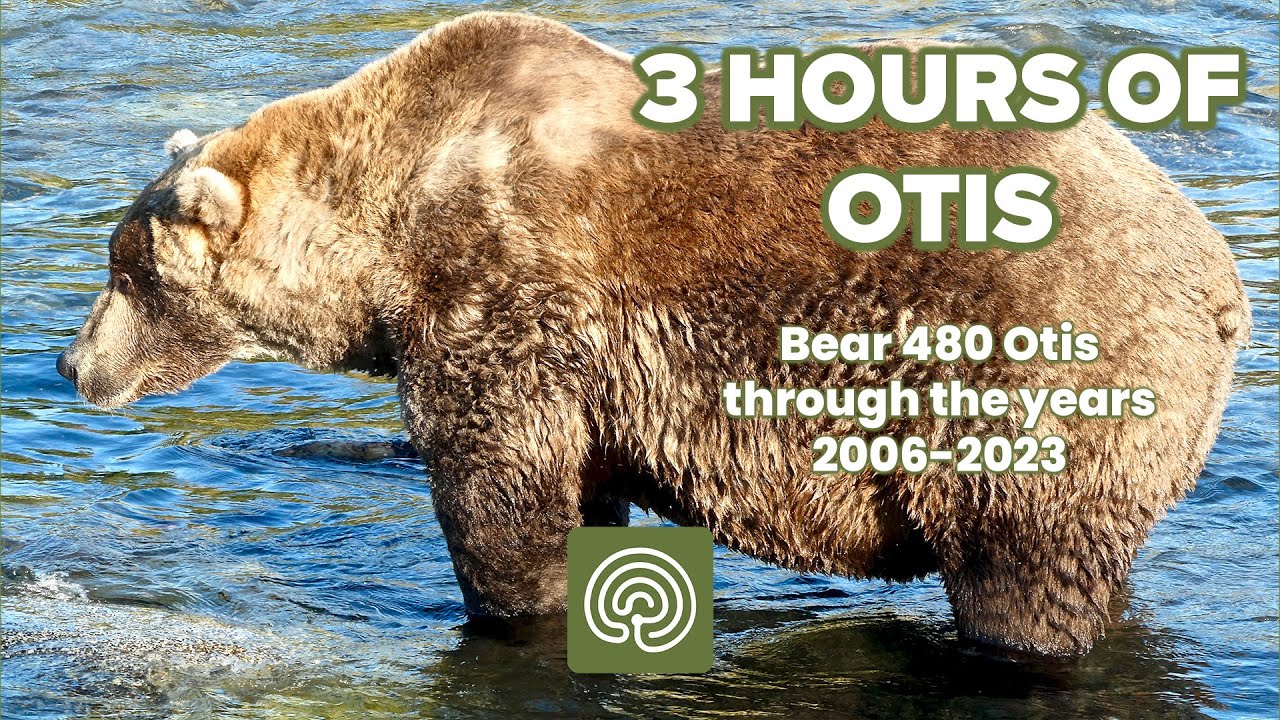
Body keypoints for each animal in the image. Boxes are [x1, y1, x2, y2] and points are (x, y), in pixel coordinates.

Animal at [57, 12, 1249, 657]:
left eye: (124, 269)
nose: (72, 361)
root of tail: (1217, 276)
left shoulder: (500, 289)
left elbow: (501, 495)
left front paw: (506, 609)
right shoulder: (573, 364)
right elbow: (577, 487)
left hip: (1028, 365)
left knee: (1019, 560)